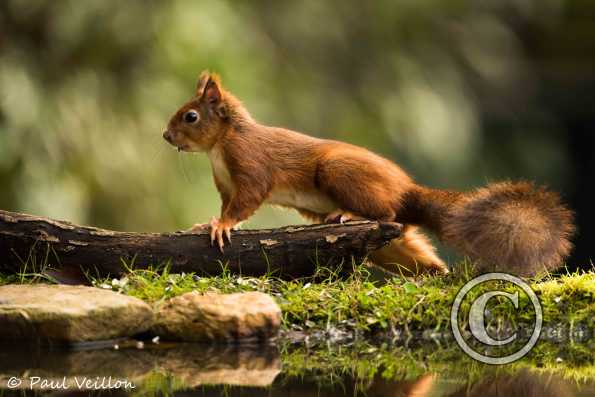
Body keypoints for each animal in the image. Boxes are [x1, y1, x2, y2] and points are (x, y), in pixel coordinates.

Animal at [162, 71, 572, 276]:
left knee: (384, 212)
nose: (166, 136)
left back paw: (348, 214)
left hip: (339, 172)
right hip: (389, 243)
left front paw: (222, 226)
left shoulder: (250, 165)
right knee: (410, 246)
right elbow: (227, 204)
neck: (220, 145)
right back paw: (437, 272)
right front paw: (207, 223)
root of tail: (407, 189)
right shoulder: (225, 184)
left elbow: (246, 202)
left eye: (191, 116)